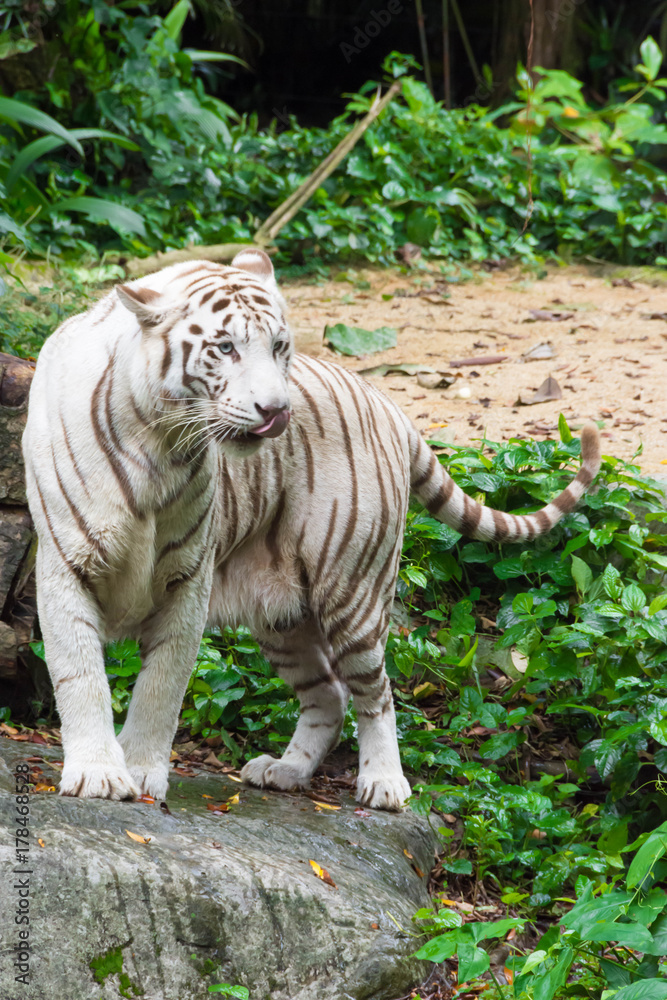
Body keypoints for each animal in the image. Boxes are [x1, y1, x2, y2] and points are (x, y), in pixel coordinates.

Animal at [22, 248, 601, 811]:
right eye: (225, 348)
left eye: (279, 345)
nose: (277, 410)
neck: (158, 442)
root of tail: (387, 403)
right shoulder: (65, 568)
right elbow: (81, 678)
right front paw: (99, 773)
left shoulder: (187, 579)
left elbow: (161, 687)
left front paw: (140, 771)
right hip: (281, 616)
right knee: (328, 694)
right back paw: (286, 770)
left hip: (354, 592)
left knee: (376, 693)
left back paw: (384, 785)